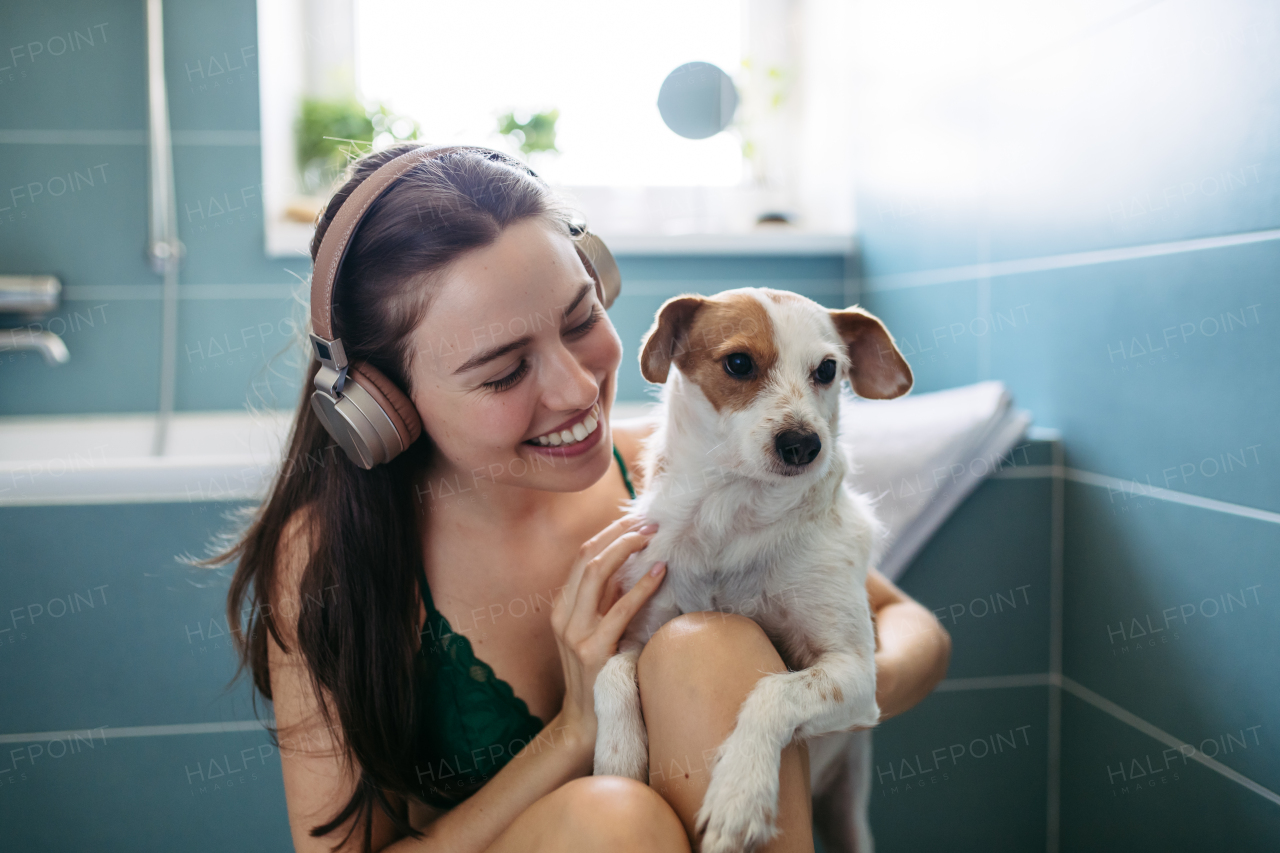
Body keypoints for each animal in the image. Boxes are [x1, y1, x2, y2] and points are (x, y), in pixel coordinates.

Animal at [593, 286, 916, 850]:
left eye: (827, 369)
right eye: (739, 363)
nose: (803, 444)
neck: (736, 514)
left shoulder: (855, 674)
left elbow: (775, 691)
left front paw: (739, 793)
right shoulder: (641, 629)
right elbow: (609, 672)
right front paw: (617, 758)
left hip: (848, 804)